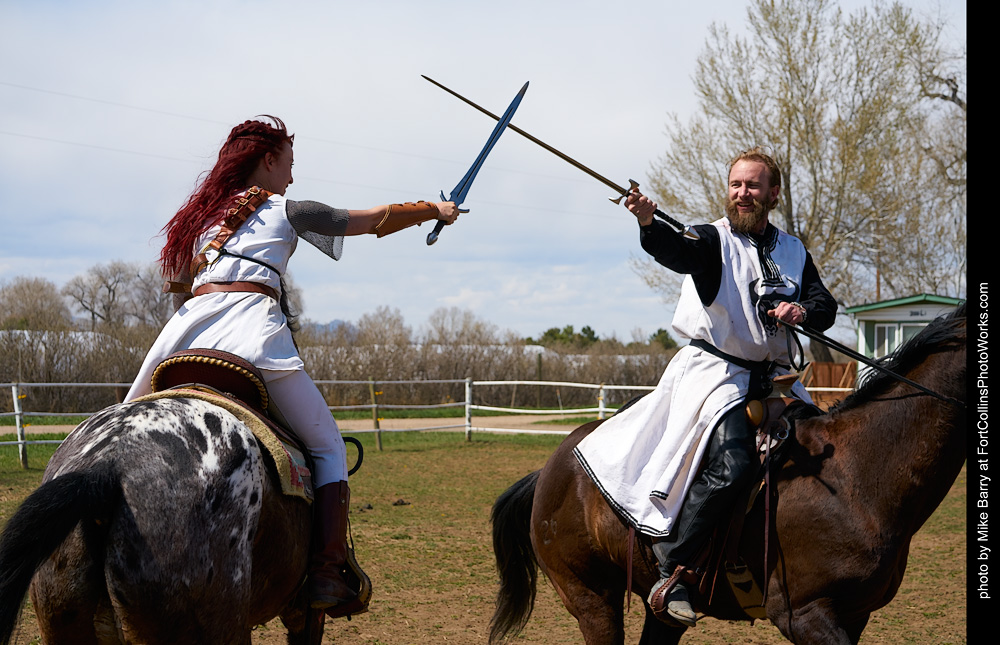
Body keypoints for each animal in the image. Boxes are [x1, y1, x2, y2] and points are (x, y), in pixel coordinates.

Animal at [490, 304, 967, 645]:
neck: (856, 479)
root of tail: (552, 469)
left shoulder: (855, 615)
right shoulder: (806, 615)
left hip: (657, 614)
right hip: (592, 602)